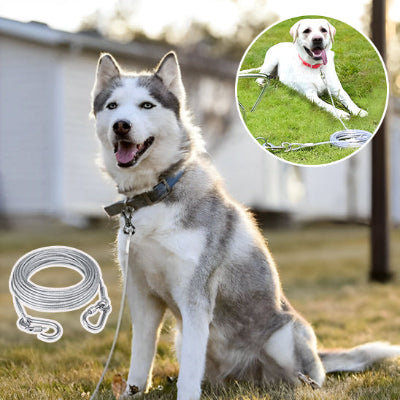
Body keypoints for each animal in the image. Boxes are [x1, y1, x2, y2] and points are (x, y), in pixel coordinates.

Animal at [91, 53, 400, 400]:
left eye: (146, 105)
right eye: (113, 106)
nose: (121, 125)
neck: (155, 196)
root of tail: (246, 377)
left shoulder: (195, 298)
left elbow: (188, 375)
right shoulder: (142, 296)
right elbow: (140, 361)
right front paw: (133, 391)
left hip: (283, 337)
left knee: (307, 377)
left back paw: (299, 384)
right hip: (183, 339)